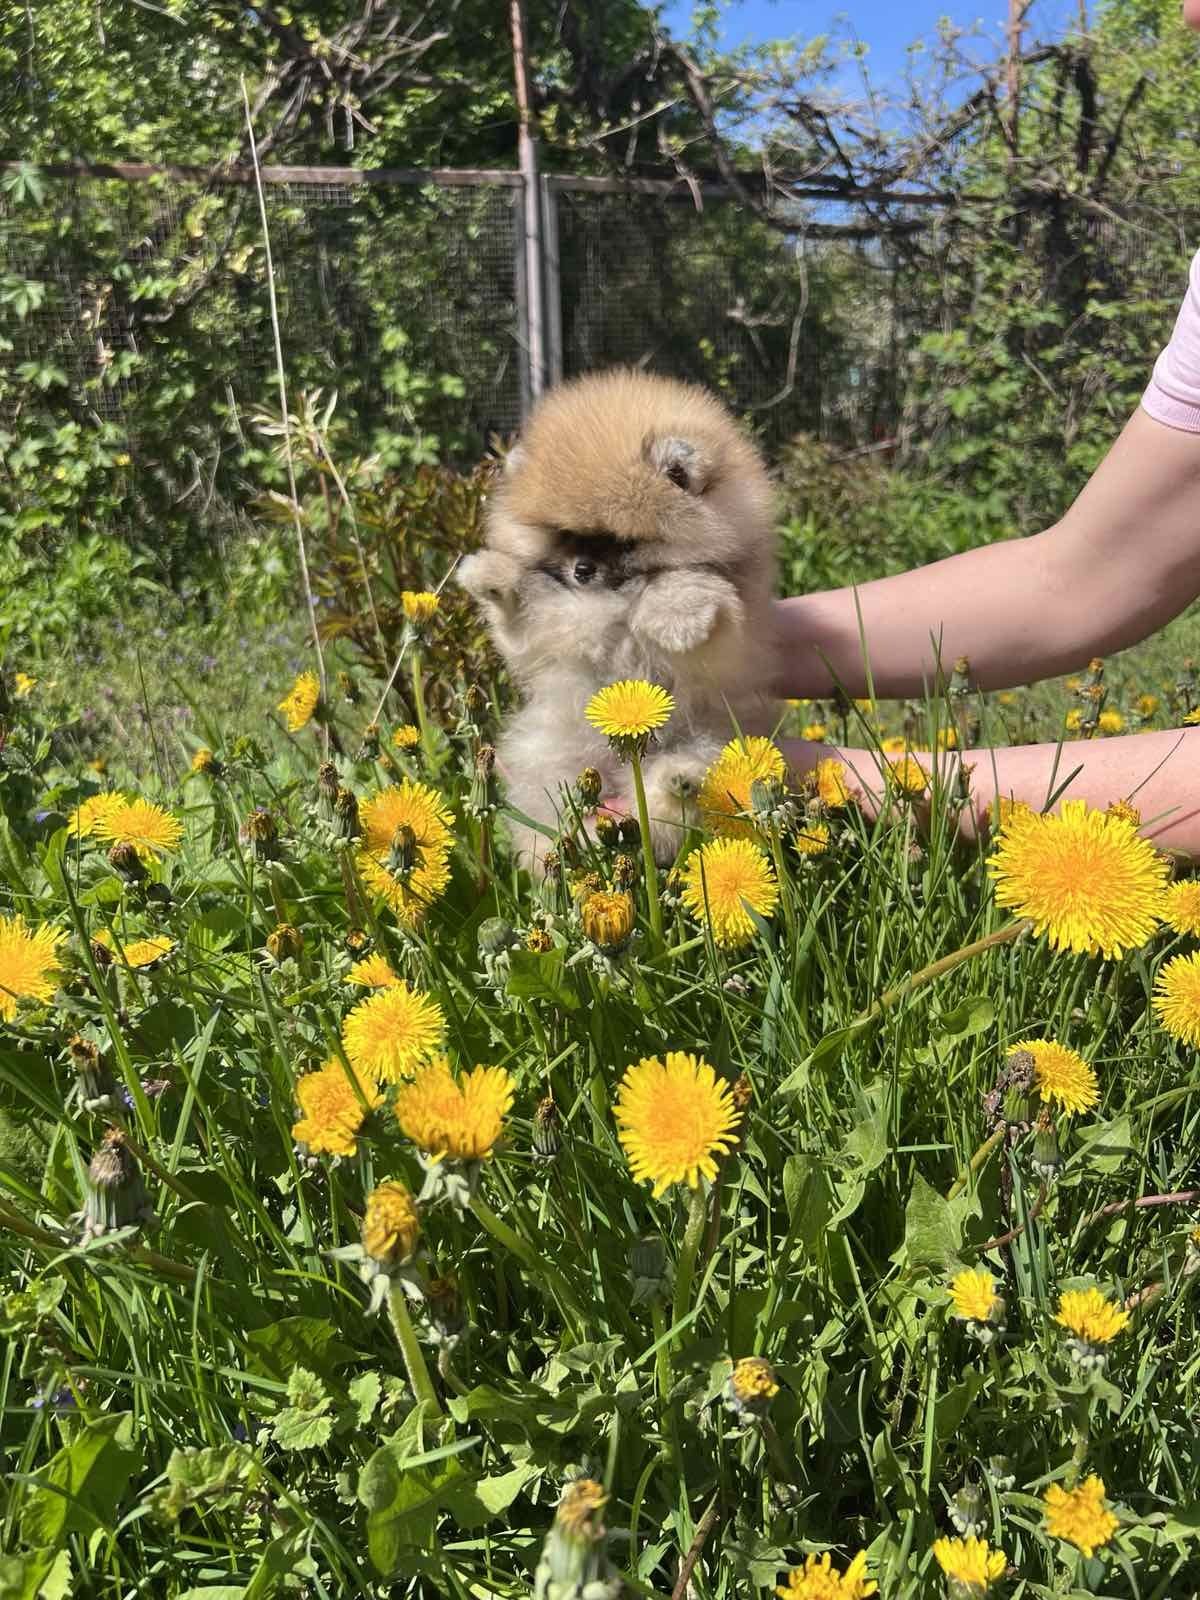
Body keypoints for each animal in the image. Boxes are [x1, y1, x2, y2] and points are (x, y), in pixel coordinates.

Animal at [457, 368, 780, 870]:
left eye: (620, 540)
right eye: (567, 535)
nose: (582, 570)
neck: (612, 602)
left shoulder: (737, 637)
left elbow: (693, 589)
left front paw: (676, 614)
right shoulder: (540, 637)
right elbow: (518, 613)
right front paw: (490, 574)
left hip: (711, 740)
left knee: (680, 800)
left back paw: (677, 781)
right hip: (553, 761)